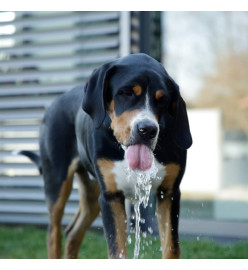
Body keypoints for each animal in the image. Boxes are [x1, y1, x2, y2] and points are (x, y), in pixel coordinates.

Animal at [20, 53, 193, 260]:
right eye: (126, 93)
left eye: (163, 99)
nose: (148, 130)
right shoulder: (111, 197)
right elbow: (117, 250)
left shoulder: (169, 193)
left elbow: (171, 248)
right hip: (57, 183)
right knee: (53, 234)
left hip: (93, 195)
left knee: (72, 233)